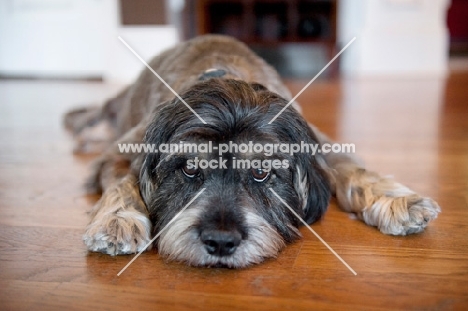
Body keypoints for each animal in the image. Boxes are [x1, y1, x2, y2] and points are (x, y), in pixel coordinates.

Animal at [64, 33, 440, 268]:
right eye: (190, 168)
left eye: (261, 172)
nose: (220, 242)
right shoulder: (122, 150)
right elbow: (120, 182)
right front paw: (117, 219)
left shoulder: (320, 140)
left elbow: (352, 168)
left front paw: (396, 199)